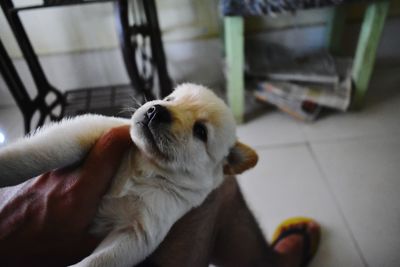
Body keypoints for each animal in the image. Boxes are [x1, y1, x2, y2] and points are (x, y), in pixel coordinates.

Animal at [0, 84, 258, 267]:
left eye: (201, 131)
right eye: (169, 99)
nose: (156, 110)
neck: (146, 167)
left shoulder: (136, 232)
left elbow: (98, 261)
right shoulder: (89, 131)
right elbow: (34, 156)